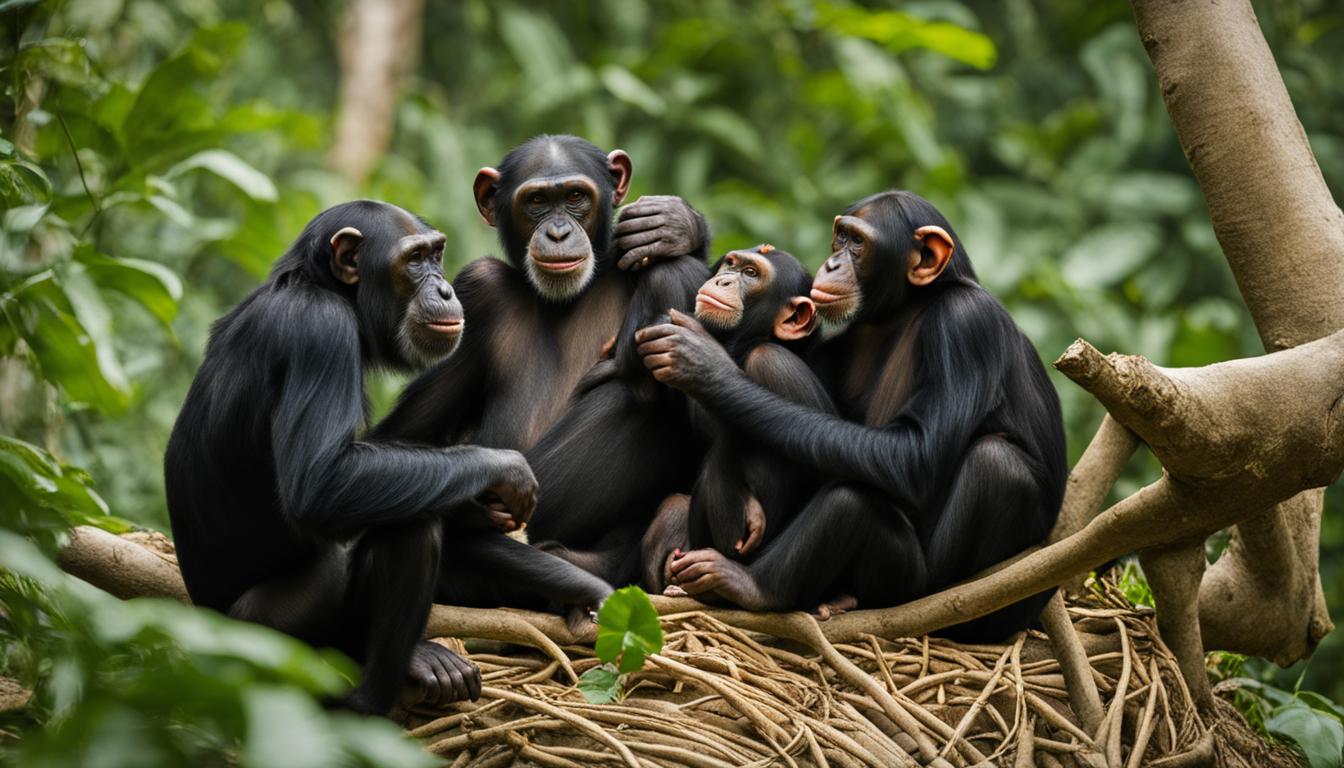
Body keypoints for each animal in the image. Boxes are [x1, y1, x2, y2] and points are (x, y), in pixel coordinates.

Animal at [161, 200, 610, 715]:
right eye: (413, 261)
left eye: (436, 254)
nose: (445, 287)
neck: (324, 288)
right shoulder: (321, 333)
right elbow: (323, 482)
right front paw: (504, 470)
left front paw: (581, 587)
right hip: (263, 642)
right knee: (406, 527)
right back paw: (371, 698)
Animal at [362, 136, 709, 583]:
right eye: (537, 201)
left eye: (576, 197)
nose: (558, 232)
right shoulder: (479, 288)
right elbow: (394, 443)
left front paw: (673, 226)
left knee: (670, 277)